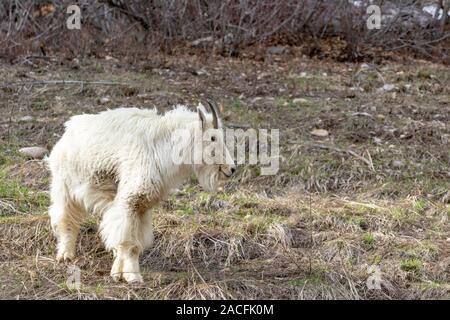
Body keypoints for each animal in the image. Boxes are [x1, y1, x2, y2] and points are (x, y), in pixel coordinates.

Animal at [47, 102, 236, 282]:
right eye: (212, 137)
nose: (231, 169)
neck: (165, 145)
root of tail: (67, 131)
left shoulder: (142, 206)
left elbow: (135, 243)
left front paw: (121, 272)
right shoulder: (131, 201)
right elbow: (128, 242)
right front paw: (131, 276)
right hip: (64, 187)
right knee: (65, 218)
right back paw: (65, 254)